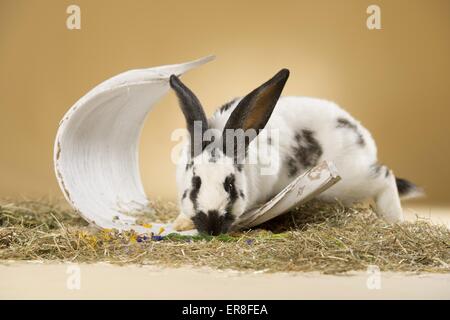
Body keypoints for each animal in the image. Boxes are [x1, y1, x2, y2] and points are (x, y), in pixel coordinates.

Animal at [168, 69, 422, 235]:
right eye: (195, 183)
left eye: (230, 184)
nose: (212, 228)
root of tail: (364, 139)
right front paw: (180, 223)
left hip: (349, 181)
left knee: (385, 176)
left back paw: (394, 220)